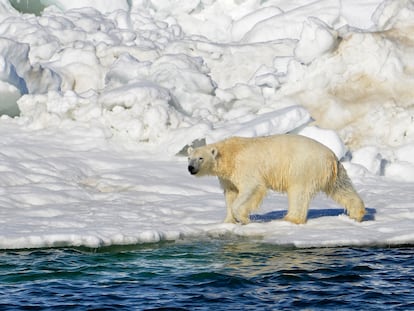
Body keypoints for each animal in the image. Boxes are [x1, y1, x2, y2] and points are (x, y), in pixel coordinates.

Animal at [188, 135, 366, 225]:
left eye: (200, 158)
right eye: (189, 158)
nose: (190, 168)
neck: (230, 153)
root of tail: (331, 157)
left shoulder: (245, 167)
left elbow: (252, 188)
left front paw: (243, 218)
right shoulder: (227, 177)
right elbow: (230, 193)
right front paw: (228, 220)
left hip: (303, 168)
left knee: (298, 193)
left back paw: (290, 218)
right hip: (333, 172)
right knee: (342, 188)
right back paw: (357, 214)